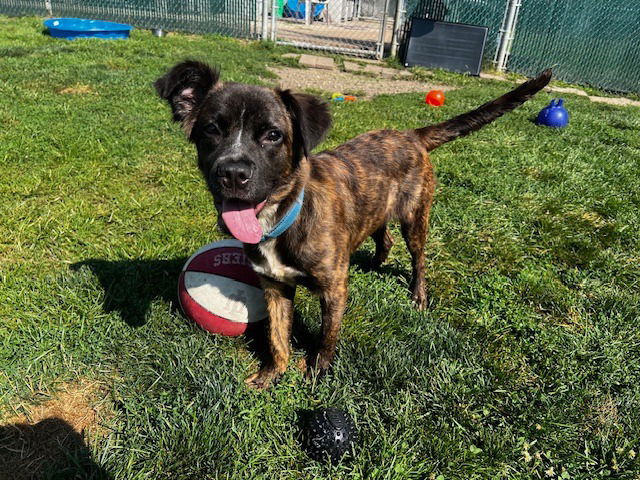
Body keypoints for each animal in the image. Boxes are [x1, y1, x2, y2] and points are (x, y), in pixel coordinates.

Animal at [155, 62, 552, 388]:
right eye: (211, 129)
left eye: (273, 135)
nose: (233, 173)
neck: (286, 214)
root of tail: (411, 135)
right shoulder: (274, 286)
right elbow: (277, 337)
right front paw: (271, 374)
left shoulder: (333, 289)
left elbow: (326, 338)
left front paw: (316, 372)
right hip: (376, 209)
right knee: (384, 239)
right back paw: (375, 263)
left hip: (415, 217)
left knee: (419, 258)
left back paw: (418, 295)